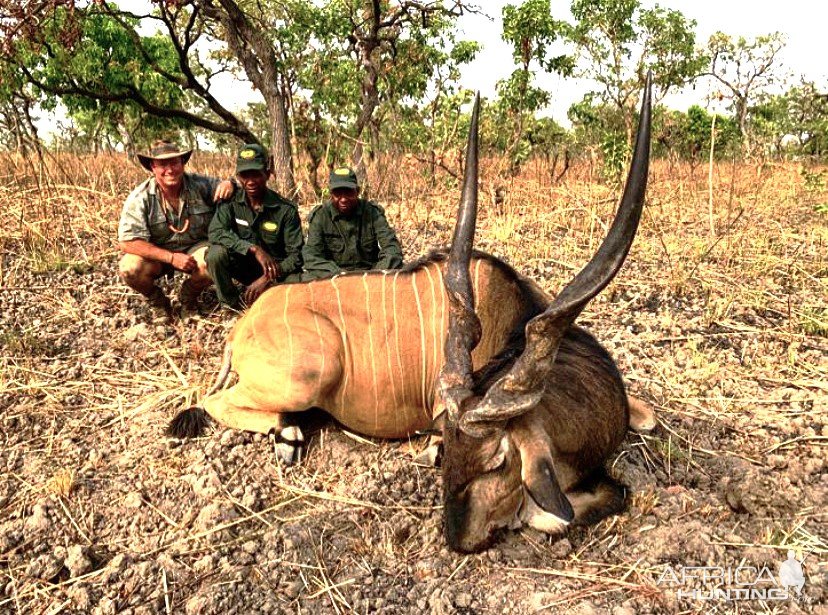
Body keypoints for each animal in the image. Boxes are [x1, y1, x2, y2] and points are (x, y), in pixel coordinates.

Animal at [170, 77, 652, 552]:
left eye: (497, 461)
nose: (457, 539)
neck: (511, 321)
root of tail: (240, 329)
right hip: (309, 373)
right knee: (213, 402)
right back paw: (287, 436)